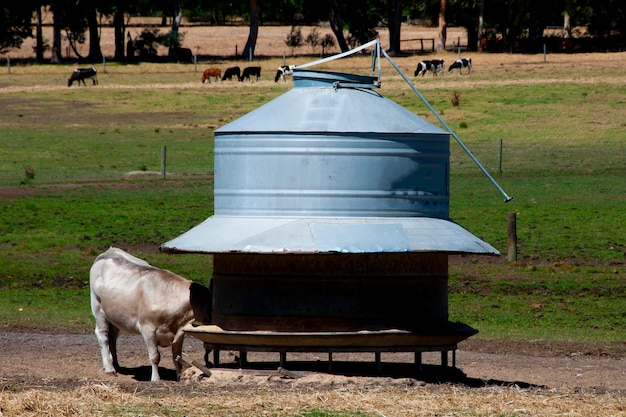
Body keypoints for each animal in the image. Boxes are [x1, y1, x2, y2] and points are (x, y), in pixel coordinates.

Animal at [89, 247, 212, 380]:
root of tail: (109, 251)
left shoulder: (179, 332)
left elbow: (177, 357)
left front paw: (180, 377)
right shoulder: (147, 328)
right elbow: (155, 356)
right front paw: (155, 379)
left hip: (115, 316)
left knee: (112, 337)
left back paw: (116, 365)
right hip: (98, 308)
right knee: (103, 335)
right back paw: (109, 368)